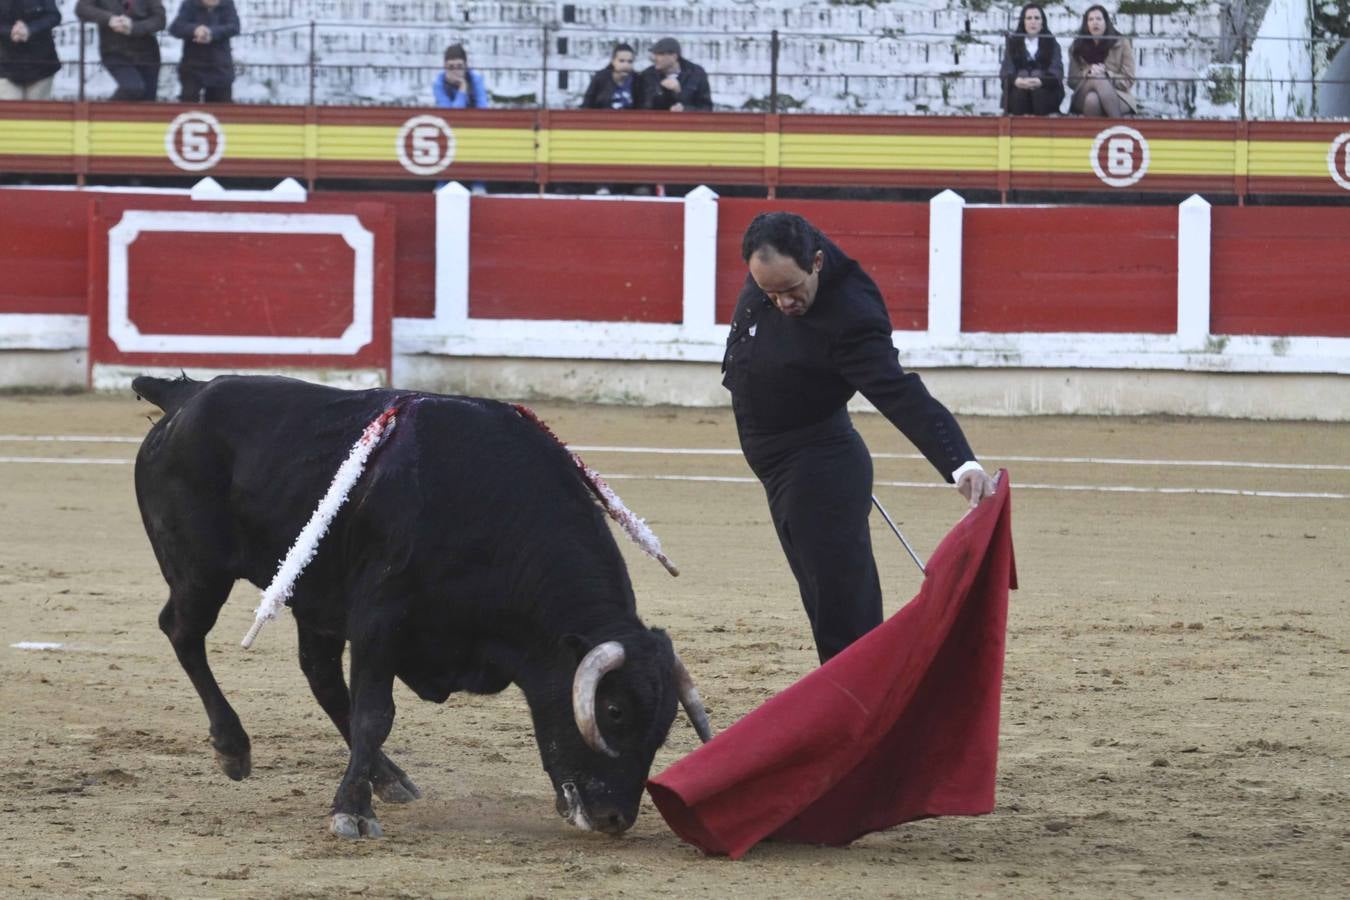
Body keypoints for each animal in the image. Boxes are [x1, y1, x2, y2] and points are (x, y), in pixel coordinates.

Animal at [131, 372, 712, 836]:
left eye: (664, 728)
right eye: (613, 711)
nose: (616, 819)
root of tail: (186, 396)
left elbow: (361, 708)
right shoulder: (378, 620)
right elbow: (376, 714)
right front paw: (351, 811)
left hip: (315, 599)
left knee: (319, 676)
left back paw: (388, 778)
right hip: (200, 571)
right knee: (182, 632)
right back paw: (233, 747)